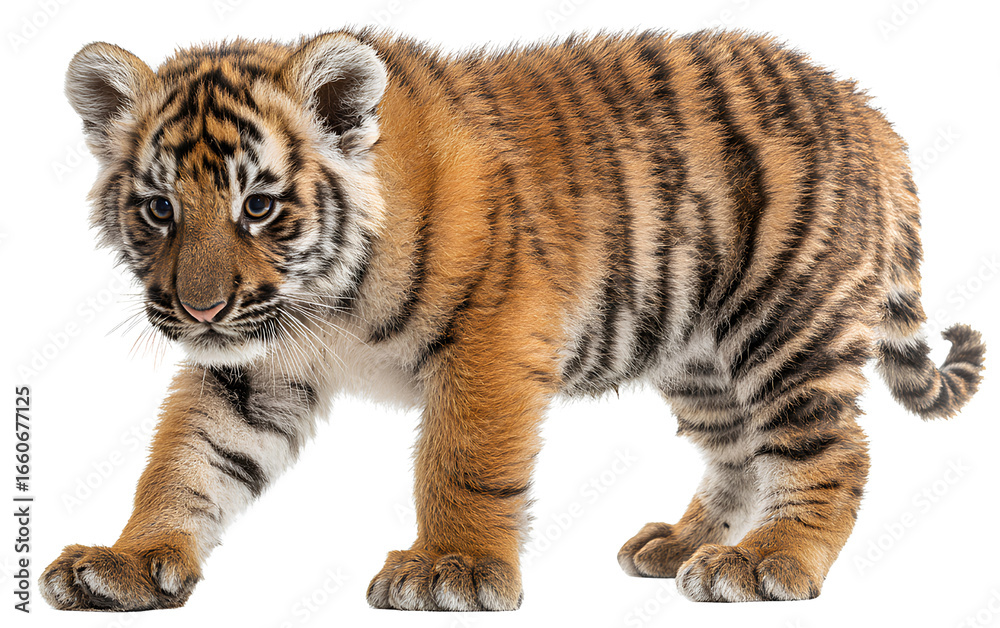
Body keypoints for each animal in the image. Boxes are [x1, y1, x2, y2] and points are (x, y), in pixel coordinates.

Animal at [40, 27, 985, 611]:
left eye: (260, 206)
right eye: (159, 209)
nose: (198, 308)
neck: (323, 300)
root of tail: (867, 108)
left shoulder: (491, 334)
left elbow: (461, 461)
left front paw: (450, 569)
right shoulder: (254, 367)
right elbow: (188, 461)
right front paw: (125, 563)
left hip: (785, 322)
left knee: (831, 449)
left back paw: (765, 562)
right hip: (700, 354)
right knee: (739, 455)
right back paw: (681, 546)